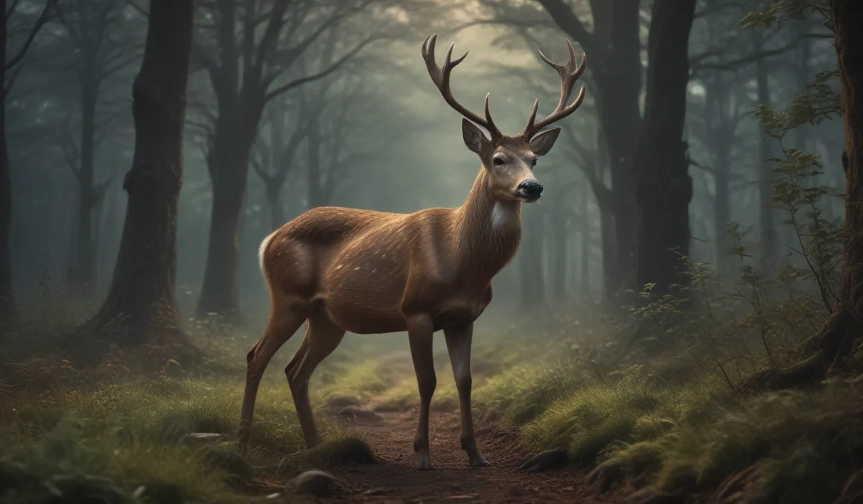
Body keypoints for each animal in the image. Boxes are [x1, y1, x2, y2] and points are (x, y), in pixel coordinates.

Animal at [238, 34, 586, 470]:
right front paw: (422, 454)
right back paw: (242, 445)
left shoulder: (465, 317)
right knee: (256, 356)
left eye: (535, 159)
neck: (462, 262)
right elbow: (427, 380)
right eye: (498, 159)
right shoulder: (415, 309)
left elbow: (465, 381)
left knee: (295, 370)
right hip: (288, 296)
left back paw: (316, 447)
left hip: (327, 316)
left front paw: (476, 454)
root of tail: (268, 240)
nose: (532, 187)